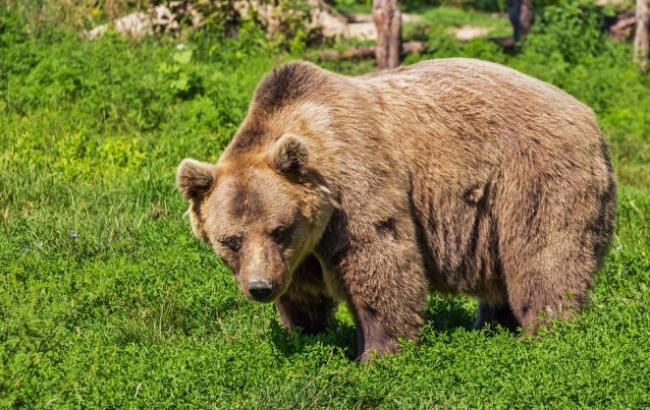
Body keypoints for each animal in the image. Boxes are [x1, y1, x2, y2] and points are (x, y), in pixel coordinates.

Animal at [176, 59, 612, 360]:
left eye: (279, 229)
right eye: (231, 240)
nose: (260, 287)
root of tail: (588, 114)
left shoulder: (356, 188)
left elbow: (380, 263)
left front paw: (377, 353)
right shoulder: (300, 253)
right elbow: (302, 293)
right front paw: (307, 333)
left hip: (534, 177)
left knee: (544, 256)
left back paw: (549, 333)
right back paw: (491, 326)